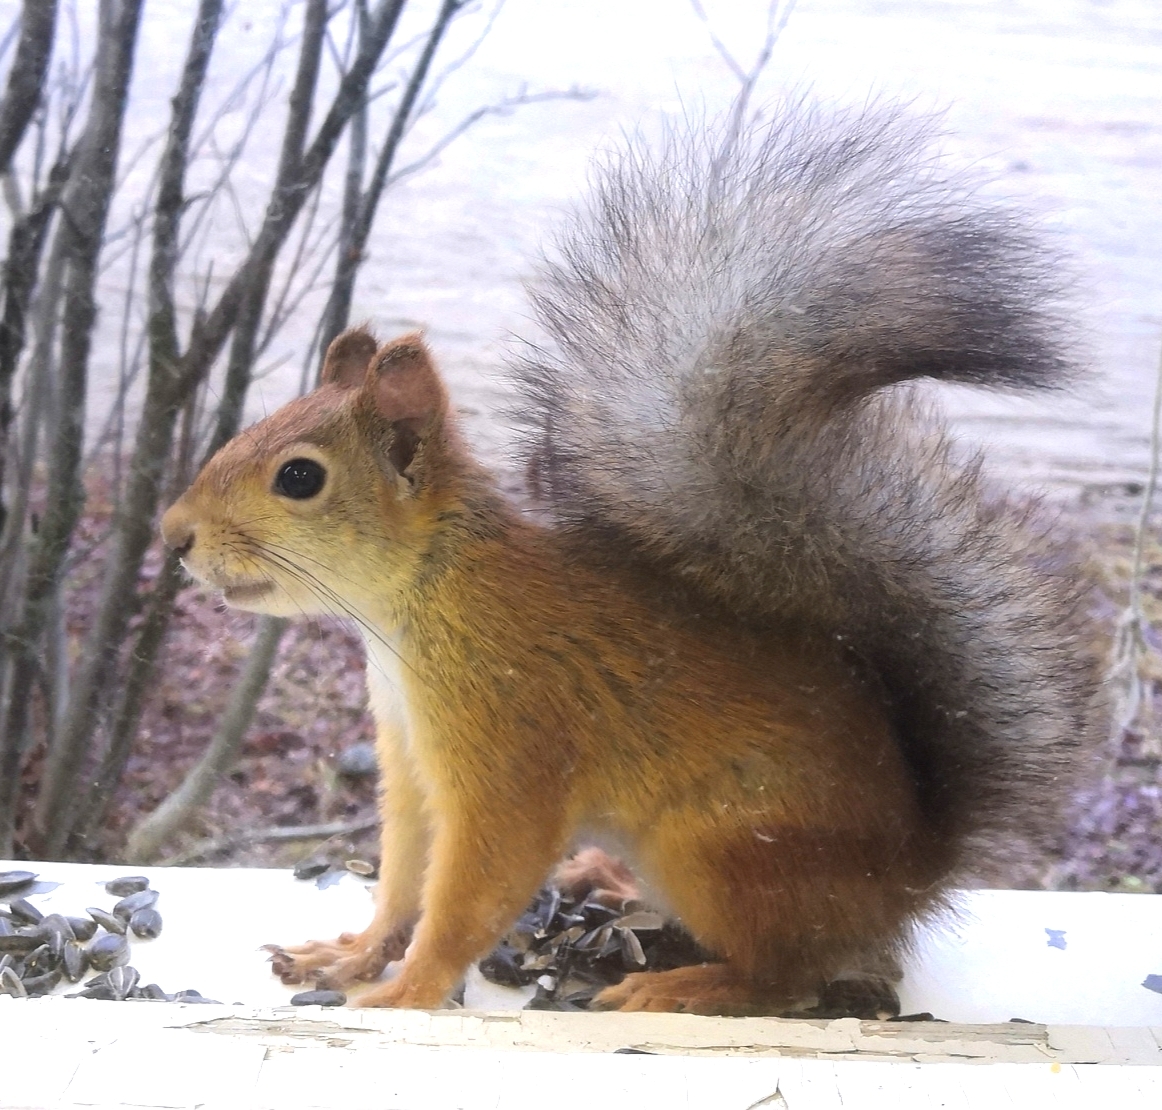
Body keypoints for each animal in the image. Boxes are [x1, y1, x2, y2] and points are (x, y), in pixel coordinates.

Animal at [161, 99, 1096, 1013]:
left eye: (299, 476)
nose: (173, 536)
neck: (418, 600)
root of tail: (904, 875)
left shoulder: (511, 728)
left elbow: (473, 884)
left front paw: (407, 991)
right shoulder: (409, 755)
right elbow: (403, 876)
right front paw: (353, 955)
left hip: (720, 848)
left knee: (784, 976)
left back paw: (681, 983)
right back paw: (606, 884)